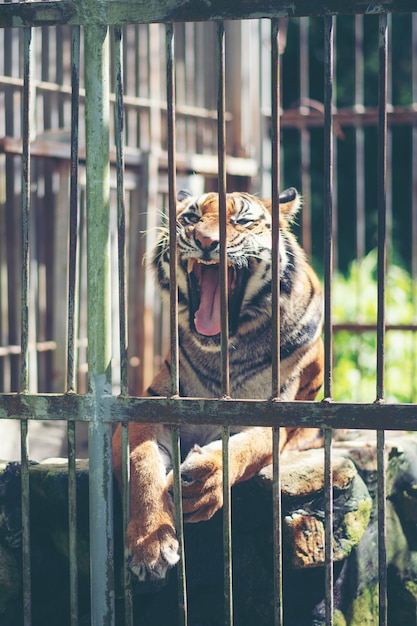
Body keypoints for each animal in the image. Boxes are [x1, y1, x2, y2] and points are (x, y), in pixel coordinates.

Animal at [112, 186, 324, 580]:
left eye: (241, 220)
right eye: (191, 218)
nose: (207, 241)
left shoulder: (275, 418)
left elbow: (243, 449)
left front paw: (204, 483)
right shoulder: (152, 405)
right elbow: (141, 462)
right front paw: (150, 544)